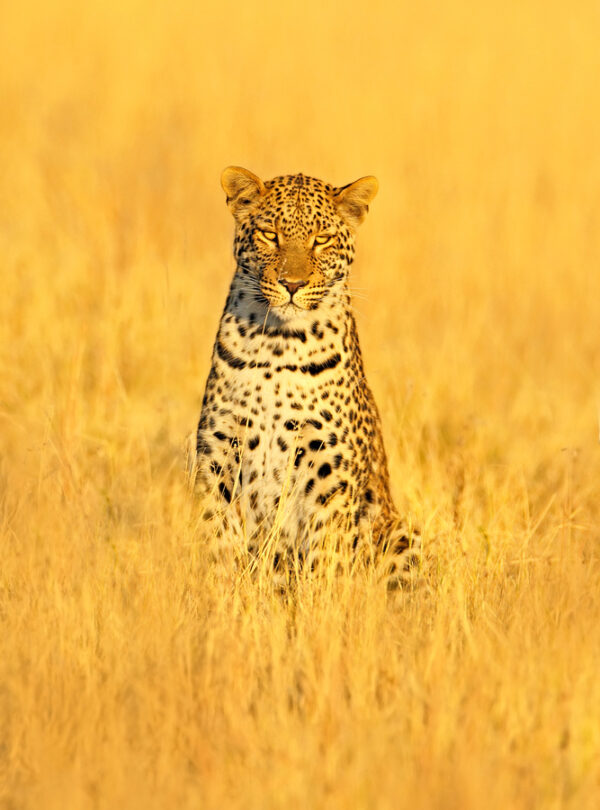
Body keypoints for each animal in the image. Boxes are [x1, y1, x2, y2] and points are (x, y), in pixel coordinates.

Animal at [192, 166, 420, 581]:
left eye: (322, 240)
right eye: (270, 234)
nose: (293, 284)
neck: (278, 344)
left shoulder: (328, 464)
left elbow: (326, 552)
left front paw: (322, 596)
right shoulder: (218, 451)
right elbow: (217, 535)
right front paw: (220, 589)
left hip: (401, 532)